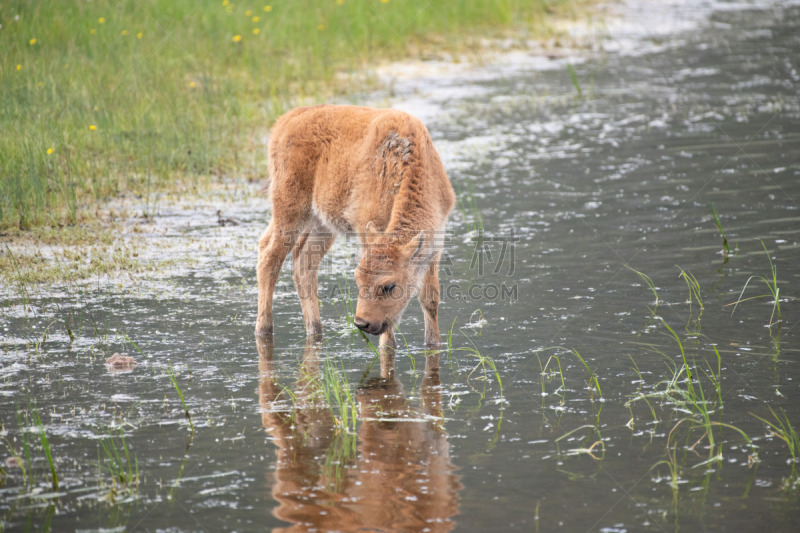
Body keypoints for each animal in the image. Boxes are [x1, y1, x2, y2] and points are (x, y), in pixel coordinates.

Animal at [256, 105, 456, 344]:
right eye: (357, 279)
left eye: (389, 286)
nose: (362, 323)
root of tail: (286, 120)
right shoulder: (367, 228)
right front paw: (388, 346)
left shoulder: (434, 245)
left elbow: (430, 299)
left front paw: (434, 343)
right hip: (290, 211)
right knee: (270, 257)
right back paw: (264, 329)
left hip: (321, 224)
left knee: (302, 261)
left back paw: (315, 330)